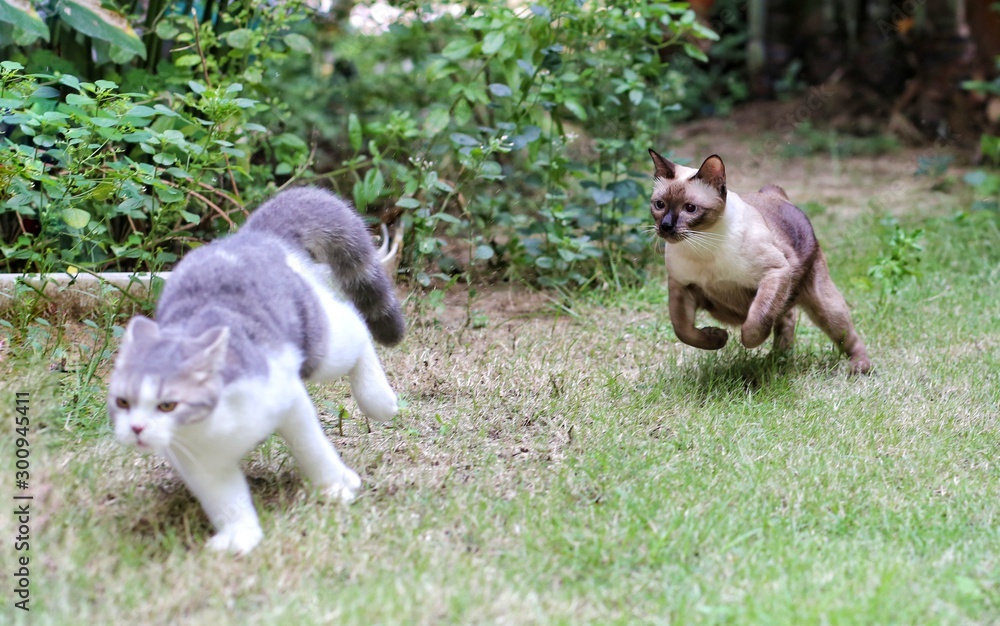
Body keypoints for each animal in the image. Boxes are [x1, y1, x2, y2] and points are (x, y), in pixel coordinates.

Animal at [107, 185, 404, 552]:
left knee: (356, 324)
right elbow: (225, 499)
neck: (216, 427)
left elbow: (311, 448)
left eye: (167, 405)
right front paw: (238, 536)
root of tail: (254, 235)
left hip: (318, 348)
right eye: (122, 402)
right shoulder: (197, 461)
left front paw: (335, 486)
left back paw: (379, 400)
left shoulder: (288, 398)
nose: (136, 428)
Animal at [648, 150, 868, 376]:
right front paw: (718, 337)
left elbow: (754, 325)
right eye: (659, 205)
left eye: (690, 208)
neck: (703, 247)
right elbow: (682, 330)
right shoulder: (681, 286)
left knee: (845, 333)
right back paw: (777, 359)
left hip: (824, 305)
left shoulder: (775, 272)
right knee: (787, 318)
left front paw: (746, 340)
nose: (666, 226)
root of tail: (774, 194)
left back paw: (858, 367)